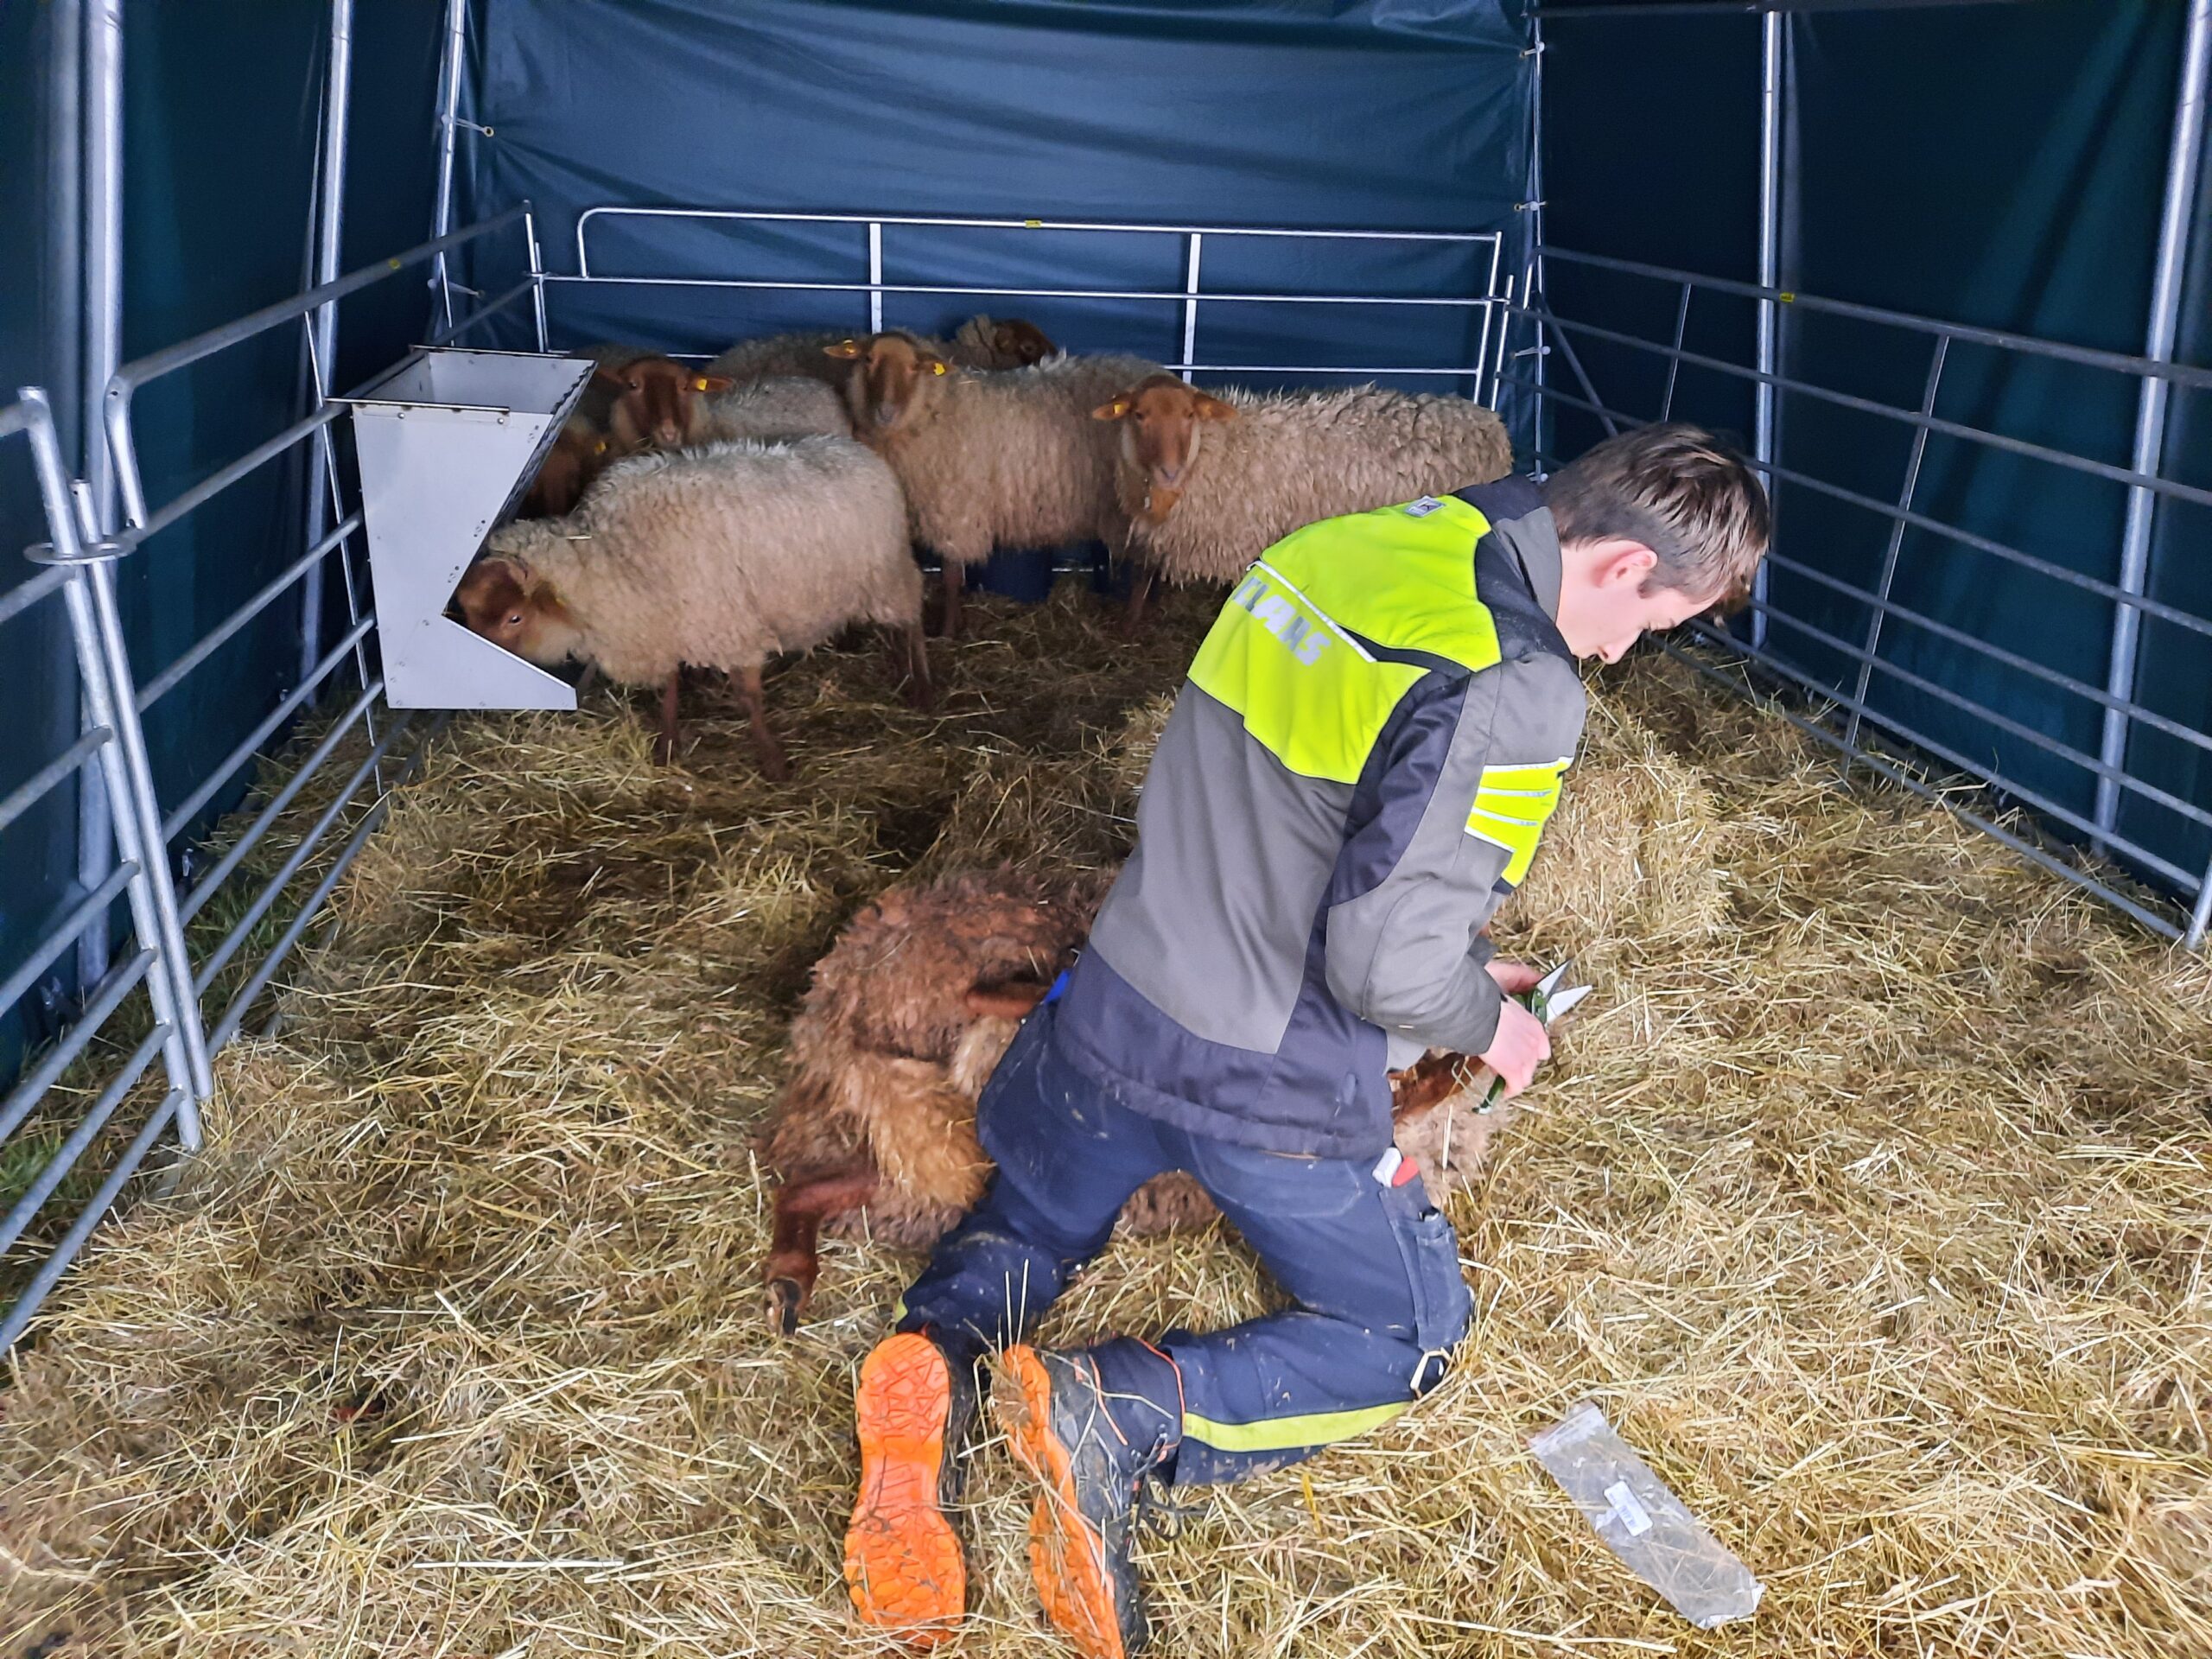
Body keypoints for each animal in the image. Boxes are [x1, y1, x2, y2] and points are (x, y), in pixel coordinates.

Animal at [454, 436, 931, 777]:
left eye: (514, 617)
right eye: (471, 614)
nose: (474, 696)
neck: (612, 557)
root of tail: (858, 450)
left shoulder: (728, 625)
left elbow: (748, 697)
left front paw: (772, 762)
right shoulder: (666, 624)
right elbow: (668, 688)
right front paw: (668, 746)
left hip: (888, 576)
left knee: (912, 618)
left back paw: (920, 685)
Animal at [825, 333, 1162, 634]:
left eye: (914, 367)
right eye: (868, 359)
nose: (885, 412)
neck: (938, 406)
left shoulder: (954, 511)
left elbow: (951, 577)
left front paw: (948, 630)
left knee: (1145, 566)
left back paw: (1129, 624)